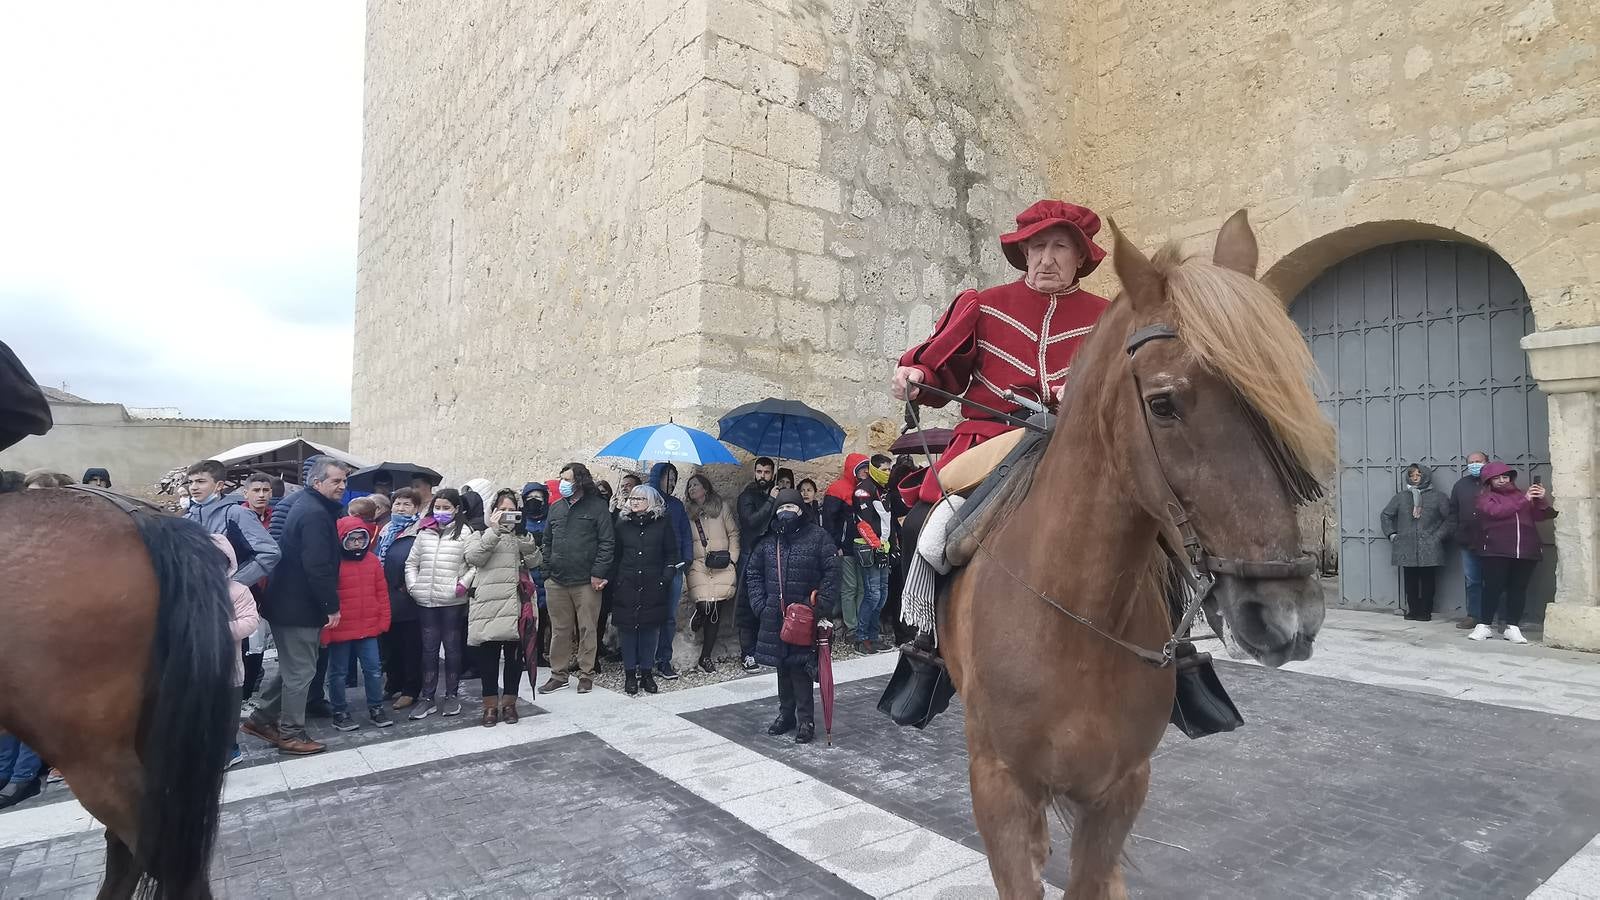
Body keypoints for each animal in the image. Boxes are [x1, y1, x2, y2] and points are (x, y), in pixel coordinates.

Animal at [940, 206, 1331, 890]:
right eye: (1163, 403)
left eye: (1276, 398)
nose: (1286, 613)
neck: (1076, 620)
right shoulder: (999, 789)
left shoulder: (1119, 789)